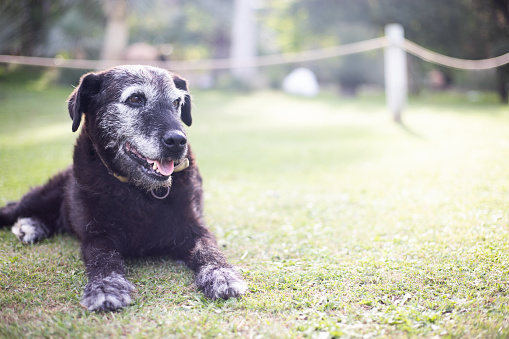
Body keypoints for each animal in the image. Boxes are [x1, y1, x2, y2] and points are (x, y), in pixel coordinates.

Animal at [0, 65, 246, 312]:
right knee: (15, 208)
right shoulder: (98, 234)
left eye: (177, 102)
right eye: (135, 98)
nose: (178, 141)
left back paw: (31, 227)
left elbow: (208, 250)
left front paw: (222, 274)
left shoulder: (194, 227)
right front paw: (104, 287)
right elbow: (103, 258)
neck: (140, 190)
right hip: (39, 198)